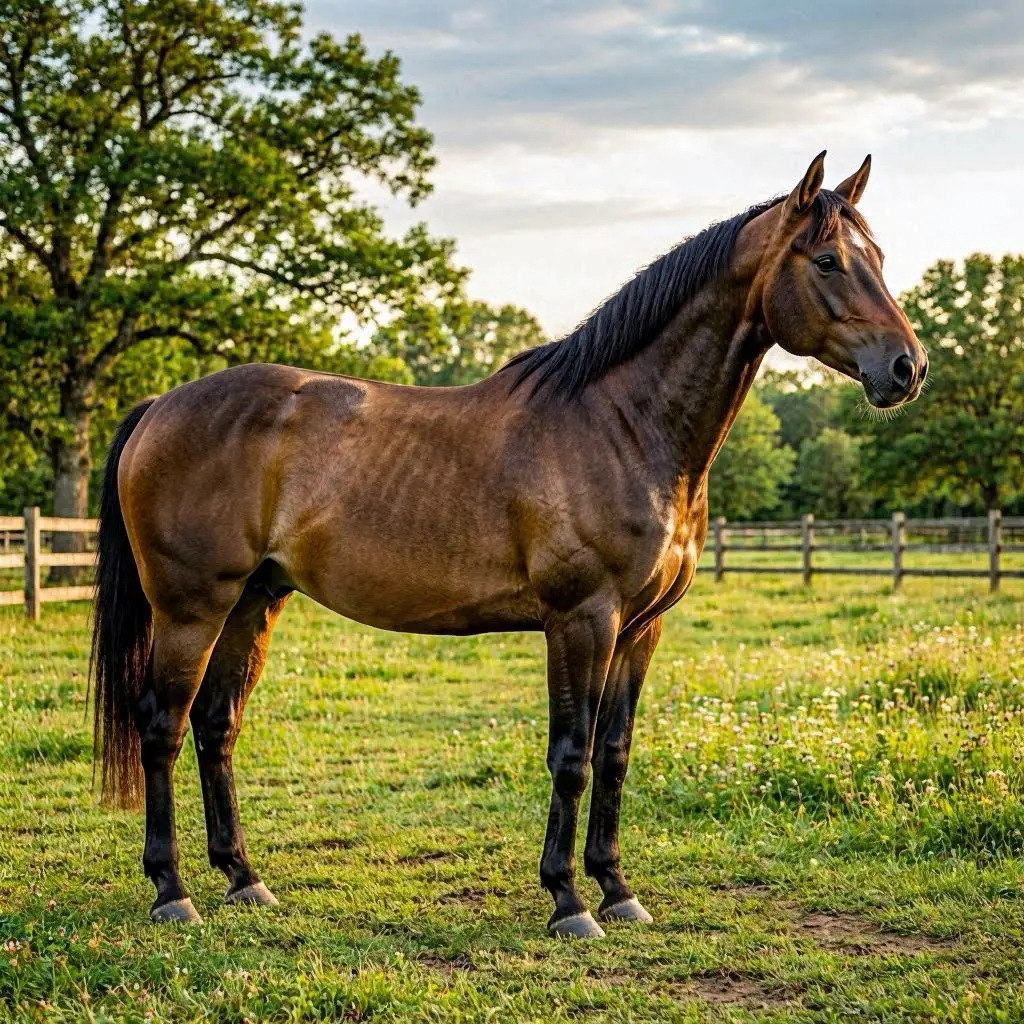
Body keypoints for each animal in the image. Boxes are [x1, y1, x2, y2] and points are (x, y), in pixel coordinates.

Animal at [90, 152, 927, 939]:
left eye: (881, 256)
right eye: (828, 260)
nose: (907, 367)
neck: (622, 425)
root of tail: (159, 405)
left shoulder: (641, 629)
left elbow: (615, 753)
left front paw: (618, 890)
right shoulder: (581, 620)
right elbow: (571, 755)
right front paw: (568, 901)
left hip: (254, 602)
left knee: (215, 726)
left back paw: (243, 879)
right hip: (192, 610)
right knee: (161, 728)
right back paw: (172, 893)